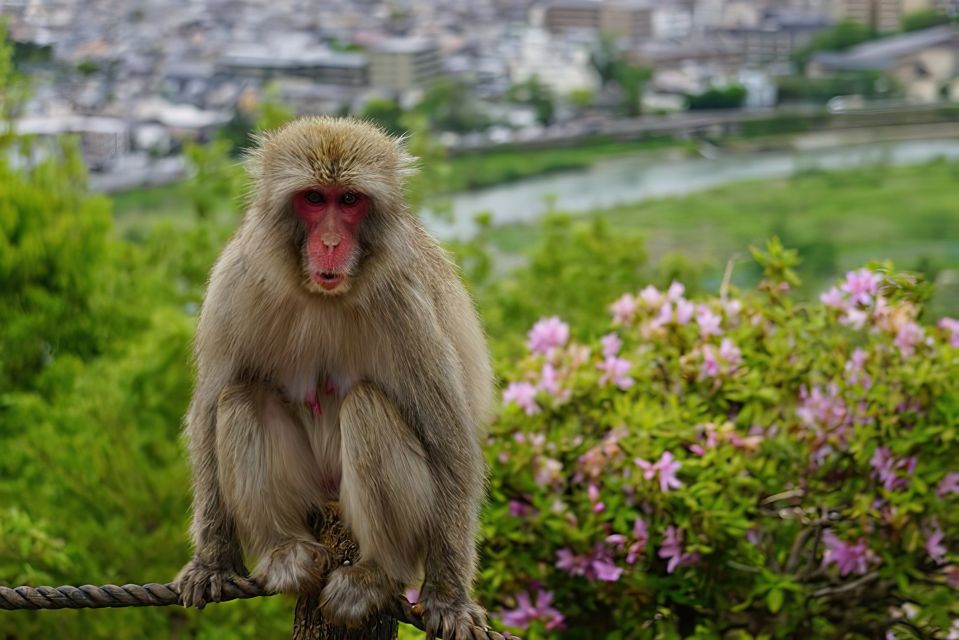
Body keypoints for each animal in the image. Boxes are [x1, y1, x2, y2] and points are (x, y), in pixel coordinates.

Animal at [173, 116, 498, 640]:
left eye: (348, 200)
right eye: (313, 198)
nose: (328, 243)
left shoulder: (406, 303)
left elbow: (449, 441)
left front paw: (449, 597)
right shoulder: (234, 283)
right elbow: (206, 411)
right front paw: (213, 560)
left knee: (366, 407)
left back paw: (376, 574)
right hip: (310, 491)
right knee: (240, 395)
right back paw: (286, 551)